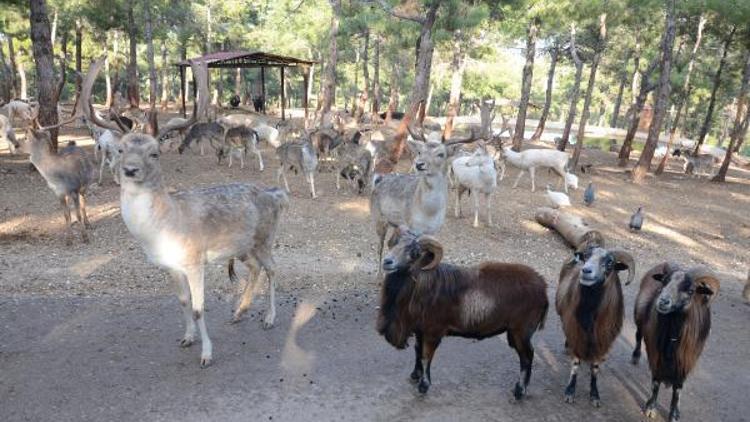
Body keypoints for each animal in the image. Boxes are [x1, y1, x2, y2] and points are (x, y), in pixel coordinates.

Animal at [119, 134, 290, 368]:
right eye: (119, 150)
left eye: (154, 153)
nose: (130, 170)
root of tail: (277, 194)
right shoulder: (172, 266)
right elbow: (183, 300)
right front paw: (187, 338)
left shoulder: (194, 261)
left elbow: (198, 309)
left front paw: (206, 354)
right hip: (242, 248)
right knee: (256, 268)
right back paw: (239, 312)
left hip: (265, 239)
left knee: (272, 268)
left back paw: (269, 318)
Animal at [378, 226, 548, 398]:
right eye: (394, 243)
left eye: (414, 251)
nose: (387, 261)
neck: (424, 284)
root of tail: (543, 288)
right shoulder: (420, 330)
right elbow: (418, 351)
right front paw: (415, 375)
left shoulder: (433, 331)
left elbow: (426, 356)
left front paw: (424, 386)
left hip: (521, 331)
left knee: (527, 357)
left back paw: (520, 390)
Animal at [556, 246, 636, 408]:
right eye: (586, 256)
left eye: (610, 262)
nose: (586, 270)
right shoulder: (577, 333)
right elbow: (575, 364)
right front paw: (570, 392)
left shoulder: (603, 340)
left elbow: (595, 368)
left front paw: (594, 395)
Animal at [636, 262, 724, 420]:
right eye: (664, 282)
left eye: (690, 290)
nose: (663, 302)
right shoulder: (655, 354)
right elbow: (656, 382)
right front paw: (650, 407)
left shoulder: (686, 361)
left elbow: (677, 389)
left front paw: (674, 414)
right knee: (638, 335)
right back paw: (635, 356)